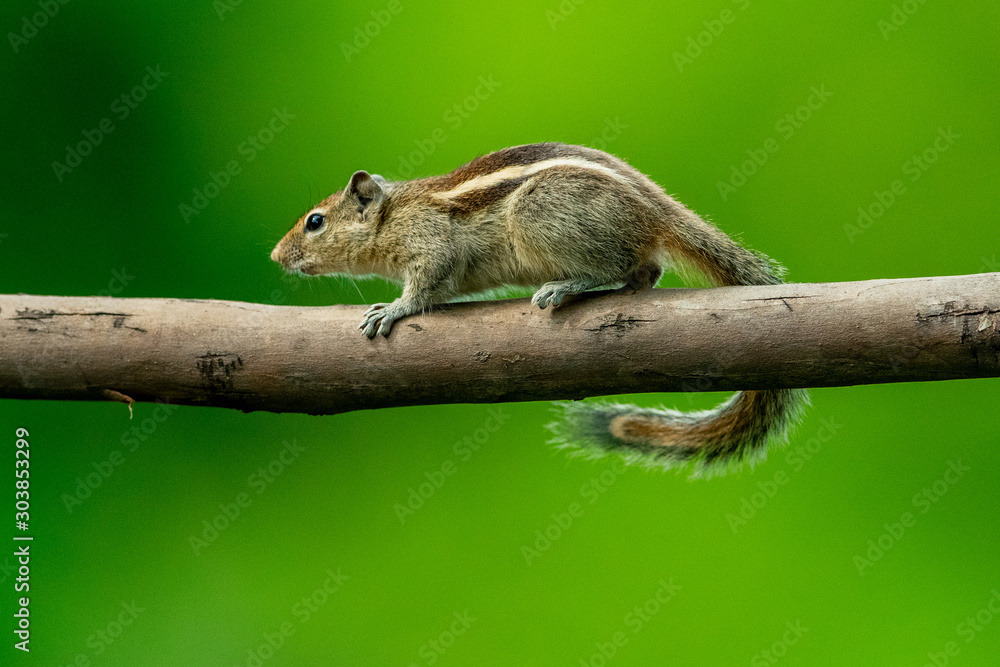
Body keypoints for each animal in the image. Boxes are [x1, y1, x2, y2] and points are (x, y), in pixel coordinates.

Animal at [271, 142, 808, 476]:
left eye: (315, 222)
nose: (276, 256)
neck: (392, 213)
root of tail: (658, 209)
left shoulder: (430, 241)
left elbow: (424, 284)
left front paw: (393, 309)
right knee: (646, 271)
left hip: (539, 211)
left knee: (618, 263)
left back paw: (567, 286)